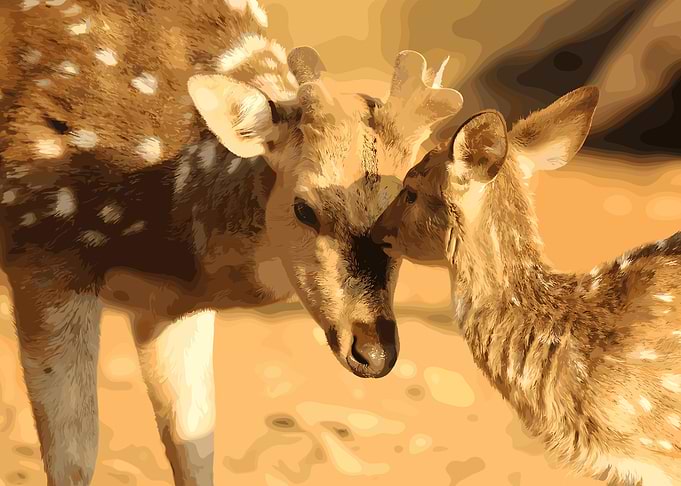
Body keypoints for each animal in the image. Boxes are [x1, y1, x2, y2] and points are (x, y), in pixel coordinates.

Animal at [0, 1, 464, 485]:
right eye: (304, 209)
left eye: (407, 207)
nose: (373, 352)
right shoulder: (42, 246)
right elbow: (74, 456)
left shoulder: (166, 303)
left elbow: (194, 439)